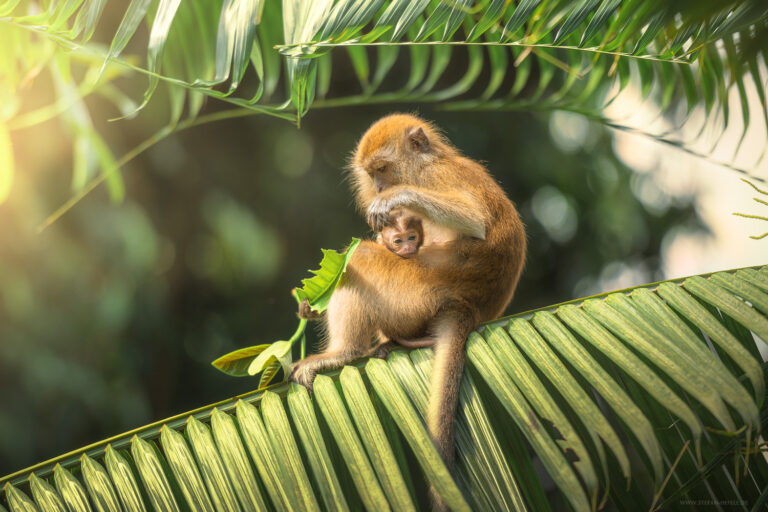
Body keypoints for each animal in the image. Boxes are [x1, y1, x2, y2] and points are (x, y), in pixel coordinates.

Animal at [292, 112, 524, 492]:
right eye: (372, 174)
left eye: (383, 169)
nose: (380, 188)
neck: (432, 160)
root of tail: (470, 305)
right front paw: (309, 305)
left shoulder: (435, 177)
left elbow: (473, 221)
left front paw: (396, 198)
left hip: (412, 293)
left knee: (361, 260)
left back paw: (343, 352)